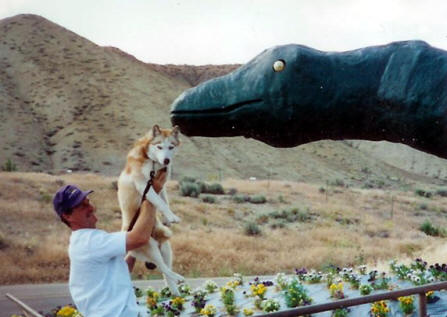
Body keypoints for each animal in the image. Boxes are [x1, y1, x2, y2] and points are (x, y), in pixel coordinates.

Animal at [118, 123, 185, 294]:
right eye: (159, 146)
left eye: (171, 146)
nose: (167, 160)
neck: (153, 161)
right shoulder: (144, 185)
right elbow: (160, 203)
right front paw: (172, 216)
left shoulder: (161, 186)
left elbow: (164, 201)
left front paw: (167, 218)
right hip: (150, 247)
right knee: (162, 267)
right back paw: (178, 277)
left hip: (165, 247)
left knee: (165, 271)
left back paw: (176, 290)